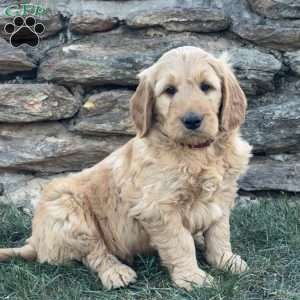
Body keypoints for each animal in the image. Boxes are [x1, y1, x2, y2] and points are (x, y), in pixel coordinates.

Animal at [0, 47, 251, 290]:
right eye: (169, 91)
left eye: (206, 87)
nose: (192, 120)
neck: (197, 152)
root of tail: (35, 241)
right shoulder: (159, 208)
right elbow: (180, 242)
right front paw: (192, 278)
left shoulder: (222, 196)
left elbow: (219, 232)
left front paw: (226, 260)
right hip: (66, 209)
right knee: (94, 253)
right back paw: (116, 272)